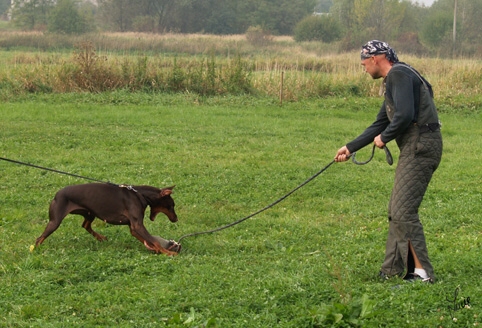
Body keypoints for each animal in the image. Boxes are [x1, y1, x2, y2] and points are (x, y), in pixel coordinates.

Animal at [34, 183, 180, 255]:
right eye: (172, 205)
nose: (176, 219)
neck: (140, 194)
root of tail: (56, 194)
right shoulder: (137, 225)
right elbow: (154, 241)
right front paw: (168, 253)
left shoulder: (133, 227)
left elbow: (149, 240)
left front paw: (156, 250)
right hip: (55, 221)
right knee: (39, 238)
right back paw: (35, 250)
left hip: (90, 213)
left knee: (85, 225)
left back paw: (101, 237)